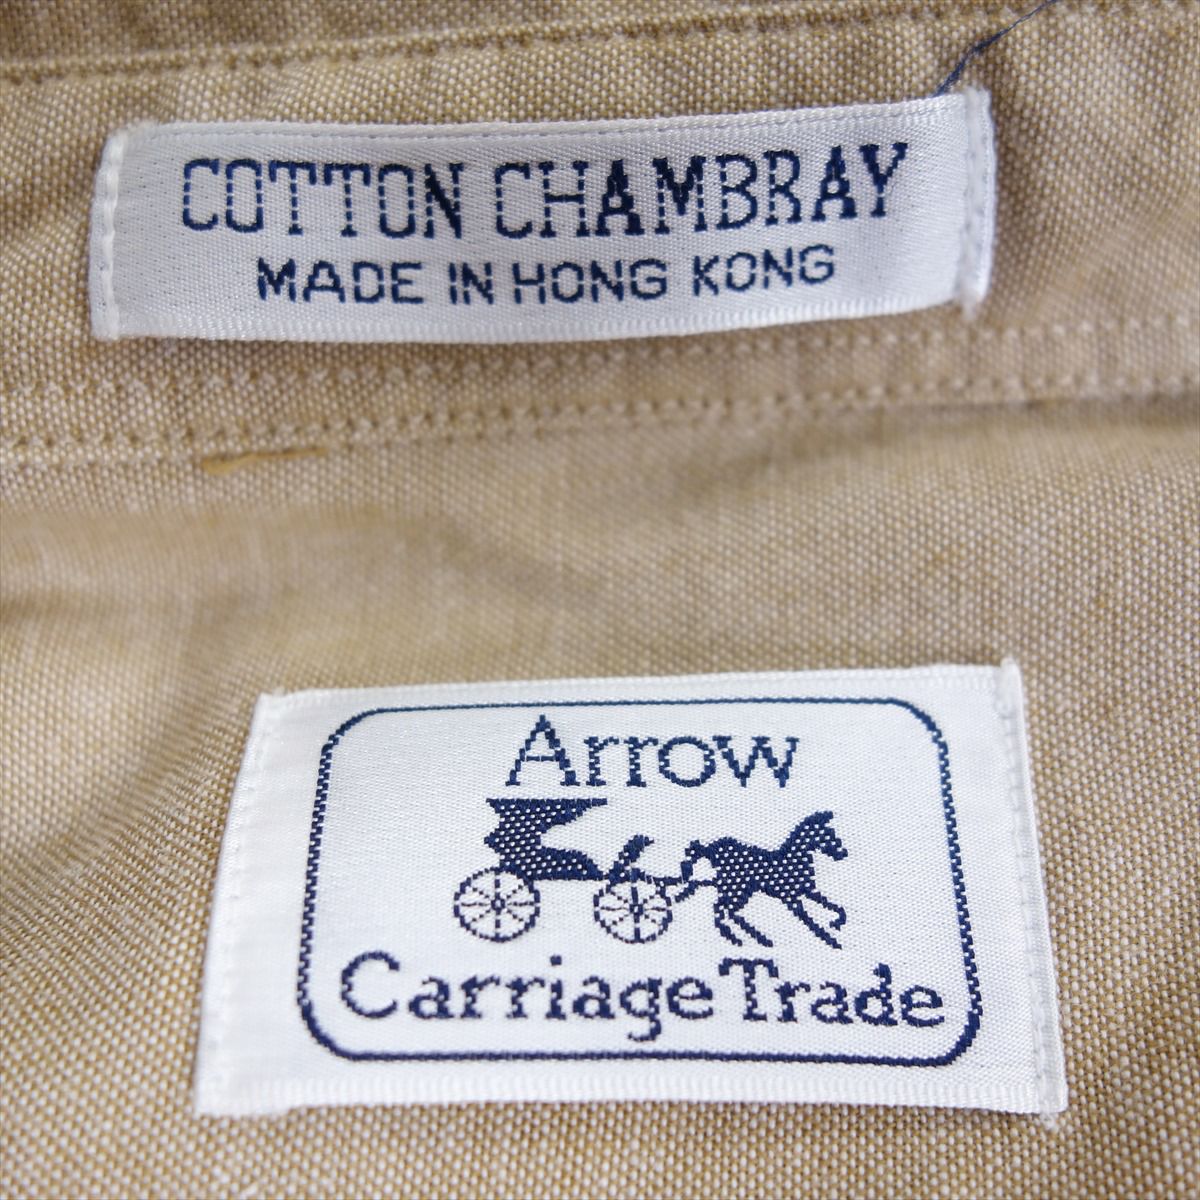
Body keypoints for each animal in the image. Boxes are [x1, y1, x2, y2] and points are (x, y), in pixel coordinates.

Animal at [676, 810, 848, 948]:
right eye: (830, 834)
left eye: (834, 833)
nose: (842, 853)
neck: (795, 857)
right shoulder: (790, 897)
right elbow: (807, 918)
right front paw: (829, 938)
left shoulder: (807, 891)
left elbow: (832, 906)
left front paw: (836, 924)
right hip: (737, 890)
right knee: (723, 910)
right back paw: (752, 939)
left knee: (724, 910)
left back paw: (749, 938)